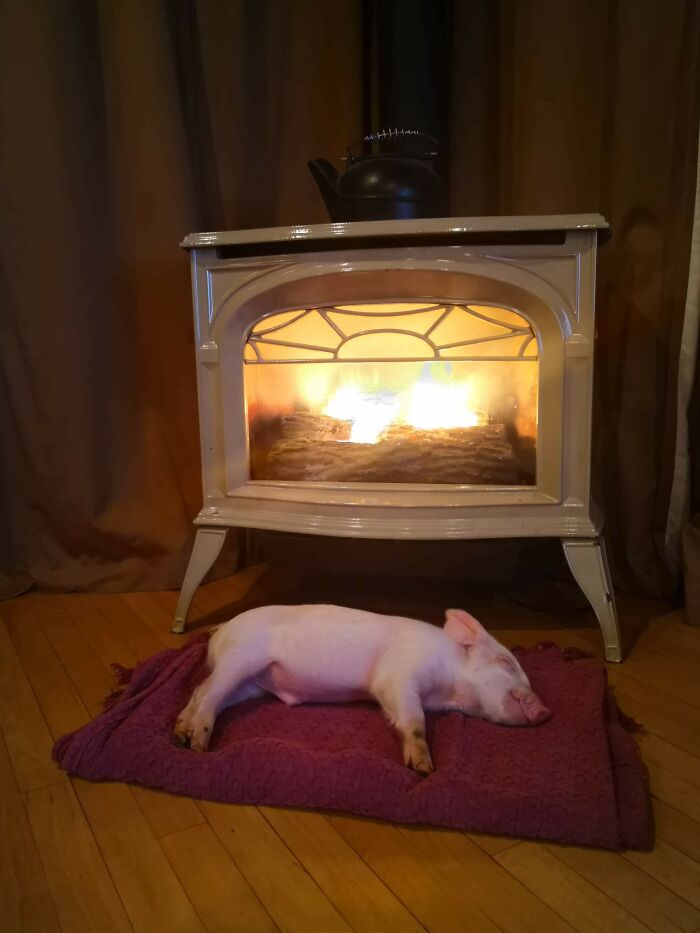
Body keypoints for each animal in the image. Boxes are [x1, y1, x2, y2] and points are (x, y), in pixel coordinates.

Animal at [173, 604, 551, 775]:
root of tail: (222, 630)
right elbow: (414, 720)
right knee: (207, 693)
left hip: (249, 684)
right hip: (240, 658)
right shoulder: (398, 674)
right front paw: (423, 769)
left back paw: (180, 735)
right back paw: (196, 745)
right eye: (505, 661)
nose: (545, 710)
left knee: (200, 691)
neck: (448, 690)